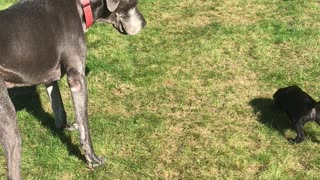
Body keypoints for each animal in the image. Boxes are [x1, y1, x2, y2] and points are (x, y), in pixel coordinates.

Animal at [0, 0, 146, 179]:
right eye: (133, 3)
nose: (145, 23)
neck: (82, 6)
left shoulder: (50, 76)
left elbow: (58, 107)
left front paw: (66, 127)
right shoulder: (77, 80)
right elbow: (85, 127)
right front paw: (93, 159)